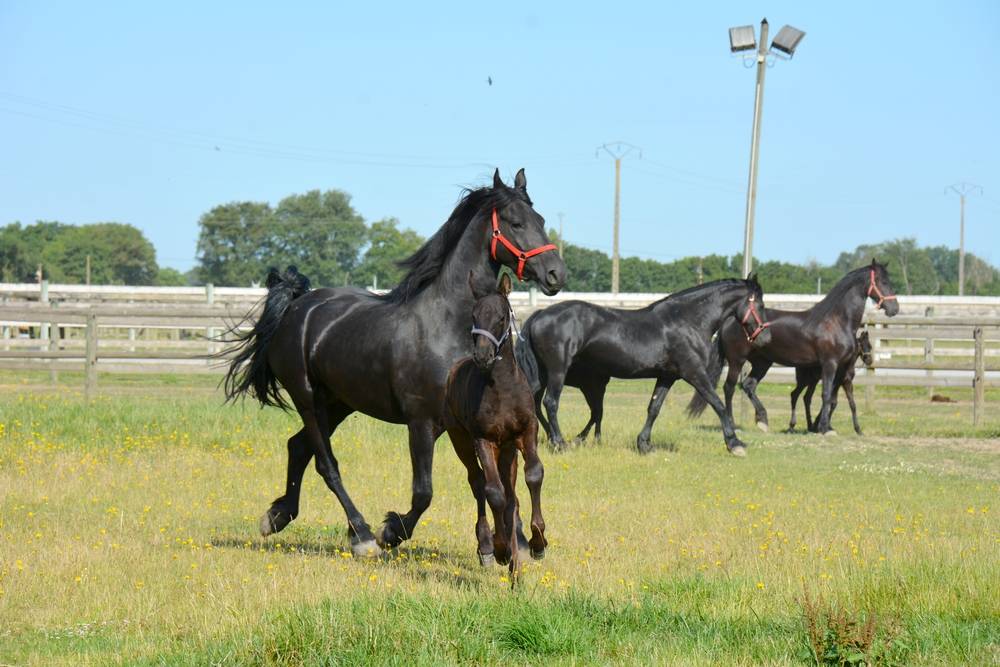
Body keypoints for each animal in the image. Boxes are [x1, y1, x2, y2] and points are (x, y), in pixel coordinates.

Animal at [444, 272, 546, 580]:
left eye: (501, 317)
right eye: (474, 316)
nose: (483, 356)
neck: (502, 389)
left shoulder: (527, 432)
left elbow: (533, 475)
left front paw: (538, 542)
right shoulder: (482, 439)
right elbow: (493, 492)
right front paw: (501, 549)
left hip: (508, 450)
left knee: (510, 491)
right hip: (461, 441)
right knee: (478, 483)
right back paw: (487, 547)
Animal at [514, 276, 773, 457]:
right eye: (760, 305)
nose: (766, 338)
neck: (687, 321)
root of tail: (540, 314)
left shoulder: (667, 376)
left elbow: (654, 408)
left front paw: (645, 445)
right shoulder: (693, 373)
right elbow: (717, 403)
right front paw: (735, 444)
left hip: (542, 373)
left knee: (534, 402)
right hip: (557, 370)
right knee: (551, 402)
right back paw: (559, 443)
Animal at [687, 260, 898, 435]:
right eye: (881, 281)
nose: (894, 309)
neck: (837, 321)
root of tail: (729, 320)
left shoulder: (842, 369)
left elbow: (834, 399)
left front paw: (827, 426)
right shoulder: (829, 364)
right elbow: (826, 394)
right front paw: (823, 428)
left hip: (762, 362)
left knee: (748, 385)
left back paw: (762, 421)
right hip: (737, 361)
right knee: (729, 387)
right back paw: (734, 423)